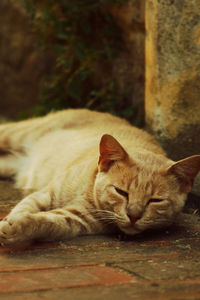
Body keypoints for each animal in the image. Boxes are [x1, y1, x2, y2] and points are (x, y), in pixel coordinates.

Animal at [0, 108, 200, 246]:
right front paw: (10, 223)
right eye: (121, 192)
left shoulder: (75, 219)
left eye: (155, 200)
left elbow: (47, 222)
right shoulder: (46, 194)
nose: (134, 216)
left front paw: (19, 227)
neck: (88, 189)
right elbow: (24, 208)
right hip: (14, 135)